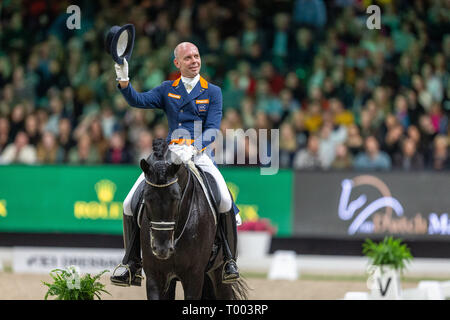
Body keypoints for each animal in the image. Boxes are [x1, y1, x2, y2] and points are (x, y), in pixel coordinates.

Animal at [138, 139, 250, 298]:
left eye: (176, 198)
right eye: (146, 197)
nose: (162, 249)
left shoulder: (194, 276)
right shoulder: (155, 276)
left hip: (219, 272)